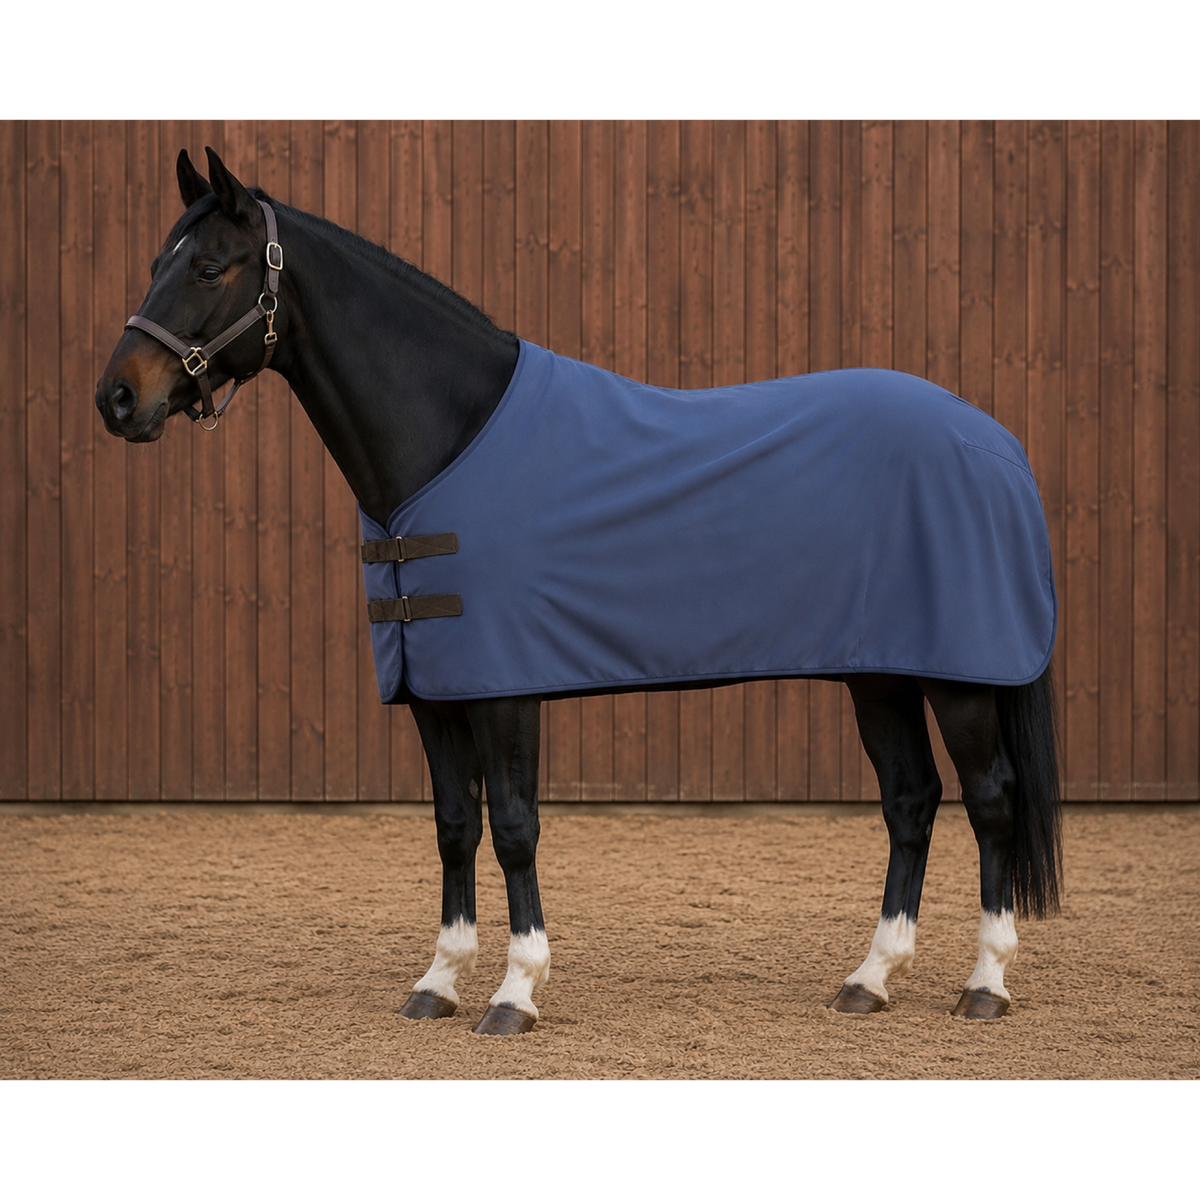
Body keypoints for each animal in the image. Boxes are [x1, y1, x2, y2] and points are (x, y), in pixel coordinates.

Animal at [96, 147, 1062, 1035]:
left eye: (209, 268)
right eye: (154, 265)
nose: (117, 399)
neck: (447, 439)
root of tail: (996, 444)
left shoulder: (504, 688)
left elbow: (516, 825)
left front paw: (515, 992)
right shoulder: (434, 690)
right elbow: (454, 822)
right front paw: (438, 982)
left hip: (959, 680)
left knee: (990, 801)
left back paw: (985, 984)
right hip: (881, 674)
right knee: (911, 801)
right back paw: (870, 978)